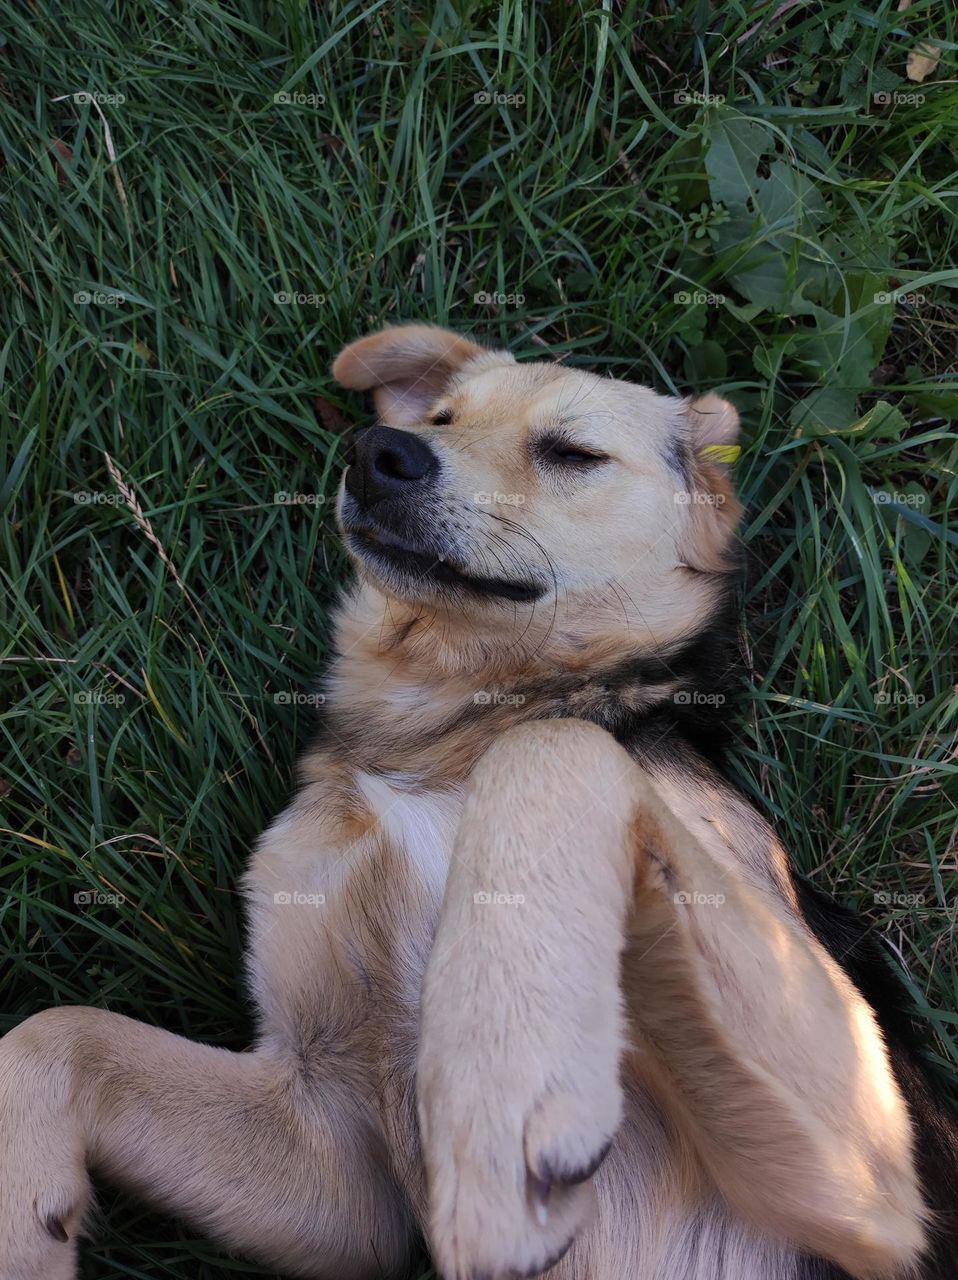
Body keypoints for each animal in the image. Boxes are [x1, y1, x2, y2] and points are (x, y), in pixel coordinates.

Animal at [1, 322, 957, 1280]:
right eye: (444, 419)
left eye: (572, 453)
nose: (379, 453)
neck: (442, 731)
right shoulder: (334, 1153)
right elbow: (53, 1032)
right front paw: (22, 1225)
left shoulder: (873, 1174)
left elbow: (553, 746)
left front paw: (499, 1080)